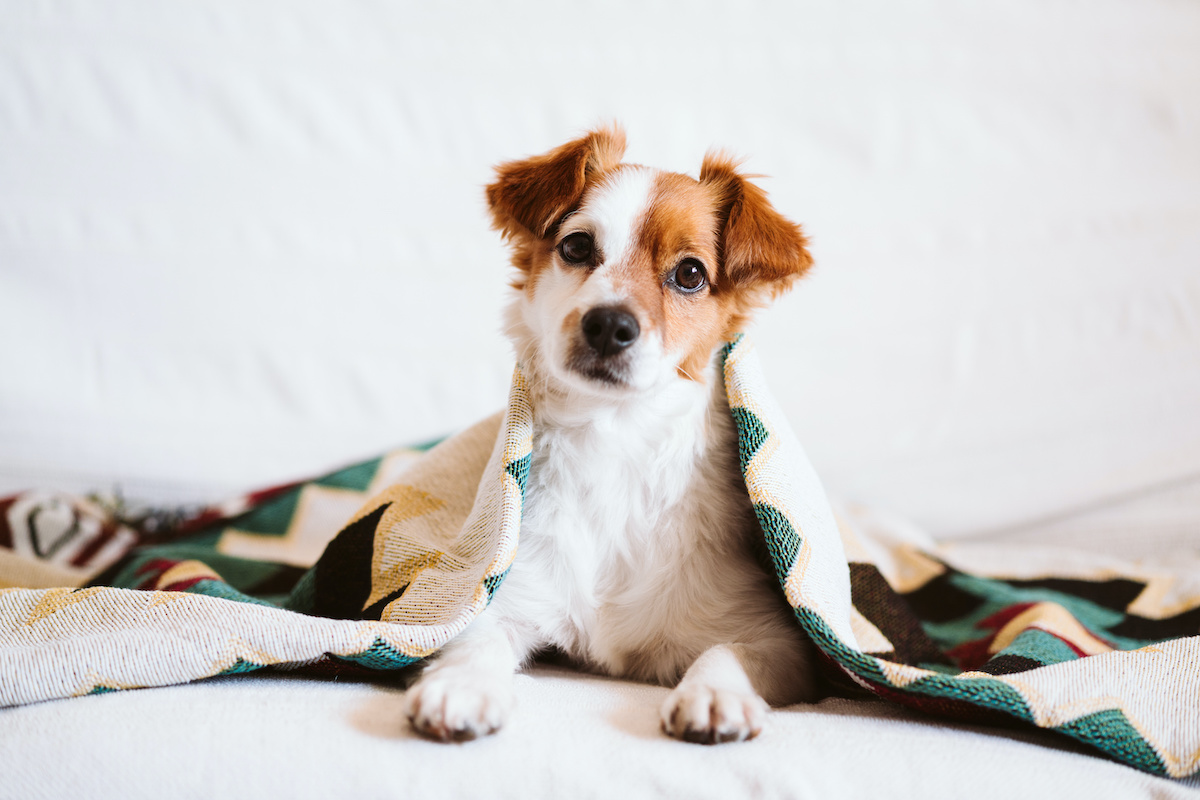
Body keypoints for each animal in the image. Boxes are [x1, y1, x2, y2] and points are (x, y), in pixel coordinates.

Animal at [403, 125, 816, 743]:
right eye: (576, 247)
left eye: (690, 273)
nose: (608, 325)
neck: (616, 439)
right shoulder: (504, 590)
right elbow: (473, 637)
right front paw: (461, 686)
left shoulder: (779, 638)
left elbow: (728, 651)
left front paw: (713, 693)